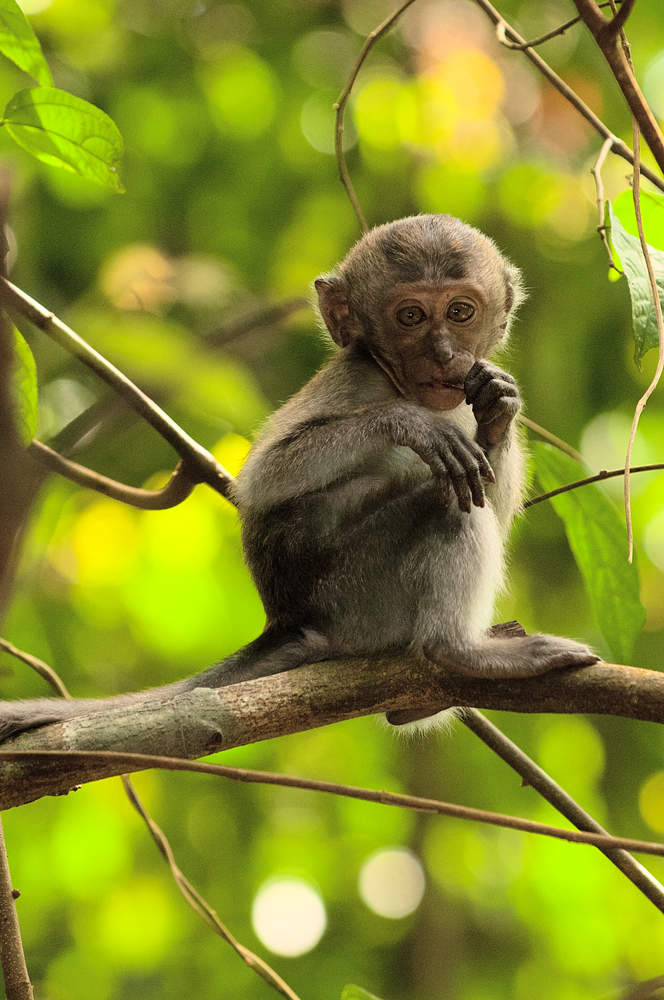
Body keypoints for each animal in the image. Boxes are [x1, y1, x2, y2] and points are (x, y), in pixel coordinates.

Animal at [0, 213, 600, 744]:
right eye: (410, 316)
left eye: (459, 312)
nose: (445, 352)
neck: (402, 382)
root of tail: (291, 621)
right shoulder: (355, 379)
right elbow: (264, 480)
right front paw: (408, 424)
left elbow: (490, 478)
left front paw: (499, 408)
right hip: (359, 592)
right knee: (447, 503)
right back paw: (459, 652)